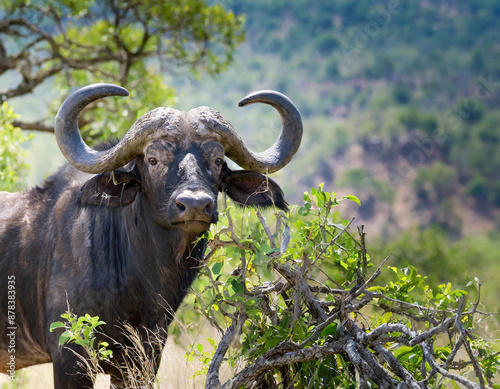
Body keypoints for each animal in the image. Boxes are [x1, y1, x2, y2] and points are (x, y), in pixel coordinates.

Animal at [0, 83, 302, 386]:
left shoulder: (143, 358)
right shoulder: (69, 357)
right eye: (154, 160)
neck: (141, 282)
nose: (195, 205)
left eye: (217, 160)